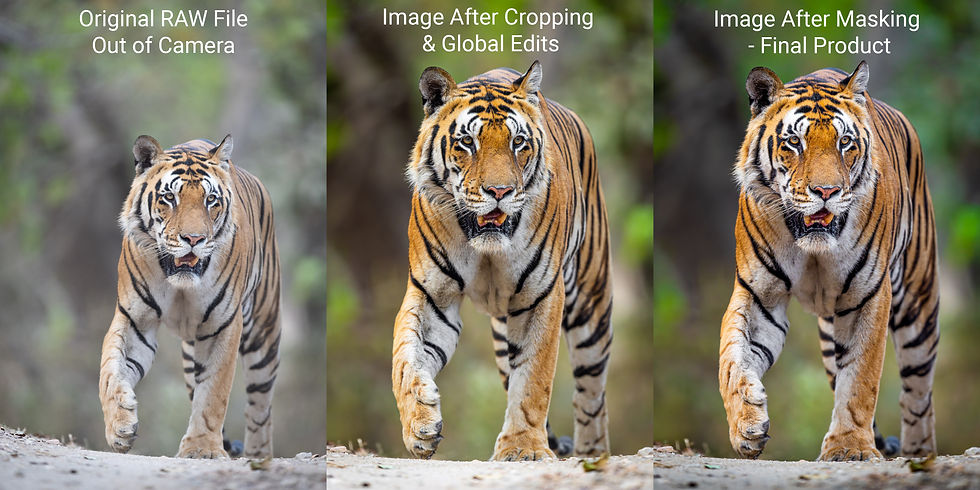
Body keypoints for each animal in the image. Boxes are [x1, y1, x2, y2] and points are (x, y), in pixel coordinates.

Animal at [99, 134, 282, 459]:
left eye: (211, 200)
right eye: (169, 198)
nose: (194, 239)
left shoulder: (223, 325)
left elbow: (213, 393)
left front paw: (202, 448)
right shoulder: (134, 320)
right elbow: (110, 369)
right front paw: (120, 425)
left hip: (263, 334)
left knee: (260, 408)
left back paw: (258, 456)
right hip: (190, 356)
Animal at [391, 61, 613, 461]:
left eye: (518, 143)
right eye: (467, 142)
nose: (500, 191)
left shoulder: (541, 296)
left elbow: (533, 379)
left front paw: (523, 448)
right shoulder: (432, 295)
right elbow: (405, 357)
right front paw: (420, 424)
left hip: (591, 305)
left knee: (591, 393)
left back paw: (591, 454)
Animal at [719, 61, 939, 461]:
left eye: (845, 142)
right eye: (794, 142)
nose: (827, 191)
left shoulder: (868, 296)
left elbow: (861, 378)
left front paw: (849, 447)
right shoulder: (759, 295)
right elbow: (732, 357)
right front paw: (746, 423)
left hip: (918, 305)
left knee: (918, 393)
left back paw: (918, 454)